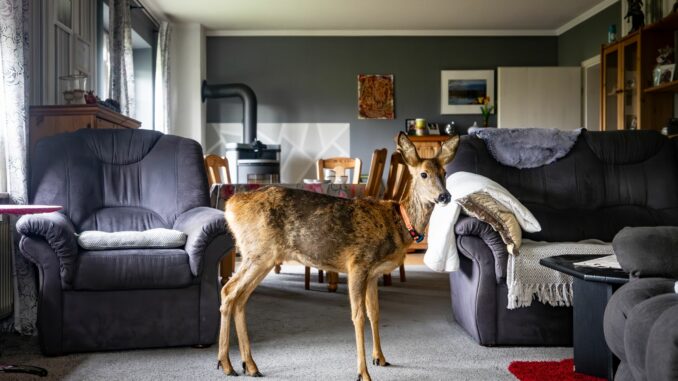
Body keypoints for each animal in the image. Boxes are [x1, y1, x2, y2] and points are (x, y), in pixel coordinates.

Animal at [220, 132, 460, 378]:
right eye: (424, 174)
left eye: (444, 173)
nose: (445, 196)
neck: (399, 223)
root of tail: (231, 206)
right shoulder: (357, 263)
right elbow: (358, 316)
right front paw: (363, 373)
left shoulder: (374, 274)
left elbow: (374, 312)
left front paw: (380, 358)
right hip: (259, 252)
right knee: (228, 291)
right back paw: (227, 364)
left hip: (261, 256)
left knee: (240, 298)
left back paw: (249, 365)